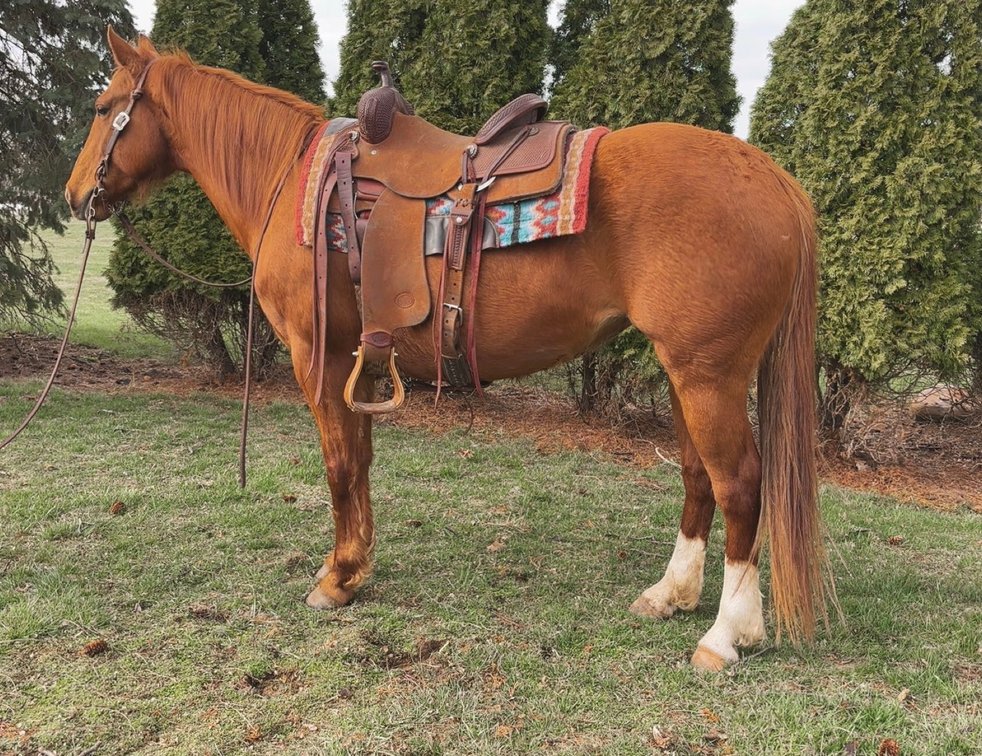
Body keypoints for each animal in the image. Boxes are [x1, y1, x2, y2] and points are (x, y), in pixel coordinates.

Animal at [66, 29, 832, 671]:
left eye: (105, 107)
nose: (75, 195)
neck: (290, 178)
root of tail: (774, 180)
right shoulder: (357, 362)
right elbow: (361, 462)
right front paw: (358, 567)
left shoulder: (320, 357)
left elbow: (339, 466)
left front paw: (335, 578)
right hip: (685, 373)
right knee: (699, 478)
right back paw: (670, 595)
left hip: (709, 375)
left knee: (739, 485)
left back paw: (726, 635)